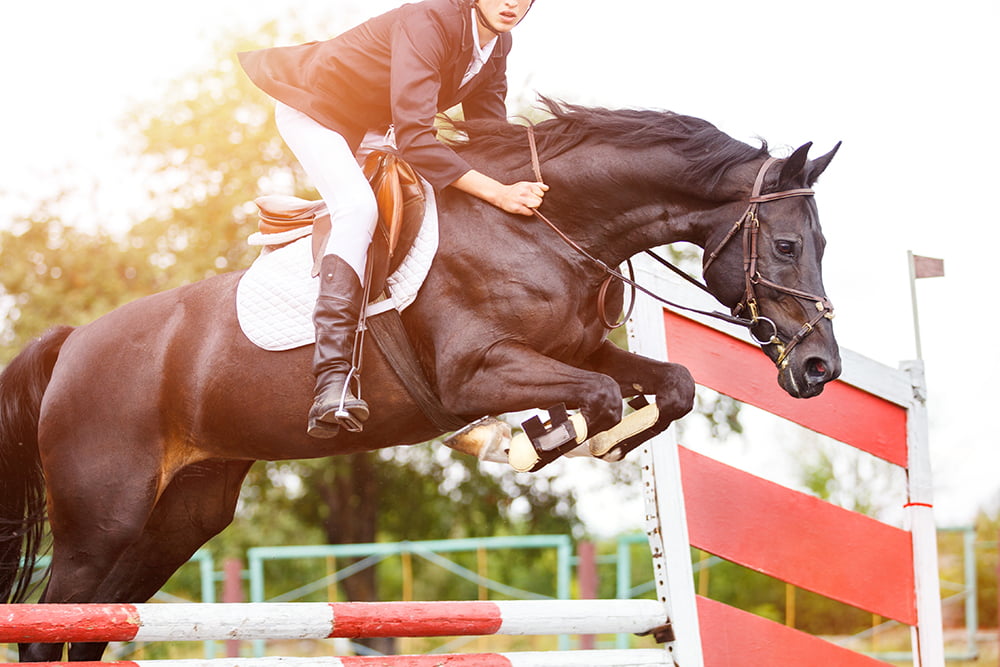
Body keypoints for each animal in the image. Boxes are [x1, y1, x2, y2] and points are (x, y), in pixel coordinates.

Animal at [0, 99, 841, 661]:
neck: (544, 225)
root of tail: (70, 343)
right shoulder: (474, 374)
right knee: (48, 631)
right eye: (788, 244)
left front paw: (597, 438)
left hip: (176, 518)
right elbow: (595, 398)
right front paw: (522, 443)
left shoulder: (576, 349)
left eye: (823, 243)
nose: (820, 366)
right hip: (102, 520)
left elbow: (672, 383)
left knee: (94, 629)